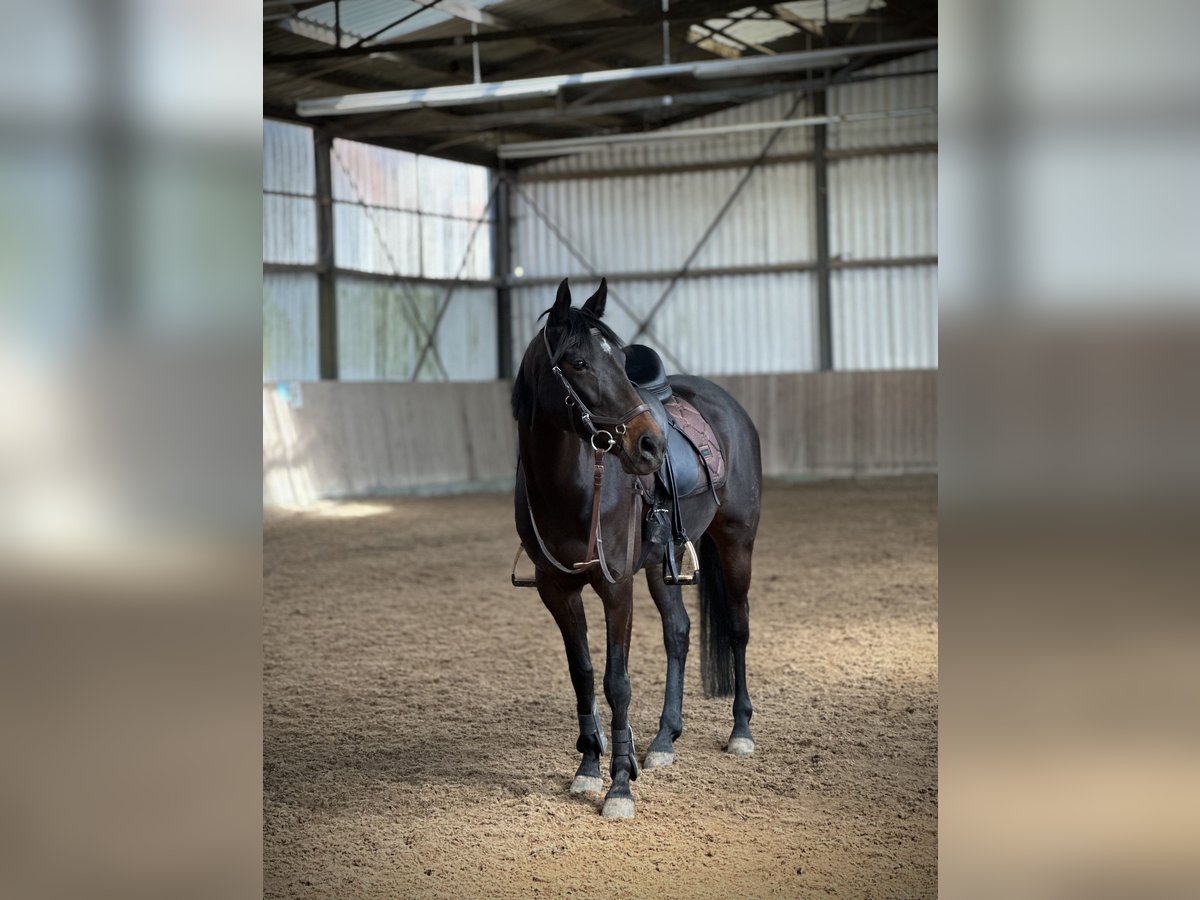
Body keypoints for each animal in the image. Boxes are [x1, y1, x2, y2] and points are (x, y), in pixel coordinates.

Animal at [511, 278, 763, 820]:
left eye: (622, 361)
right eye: (578, 362)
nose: (650, 446)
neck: (571, 489)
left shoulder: (616, 587)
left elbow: (617, 681)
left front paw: (621, 785)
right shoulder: (556, 589)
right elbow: (583, 674)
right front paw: (589, 767)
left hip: (737, 542)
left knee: (737, 627)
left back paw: (741, 730)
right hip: (661, 562)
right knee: (679, 632)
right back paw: (665, 739)